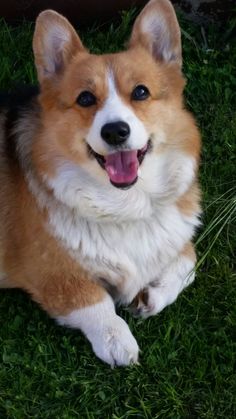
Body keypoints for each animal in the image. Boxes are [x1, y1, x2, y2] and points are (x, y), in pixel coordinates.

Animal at [0, 0, 201, 368]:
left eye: (141, 92)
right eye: (84, 99)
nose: (115, 131)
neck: (125, 205)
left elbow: (189, 259)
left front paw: (152, 295)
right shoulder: (51, 272)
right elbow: (95, 300)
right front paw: (117, 341)